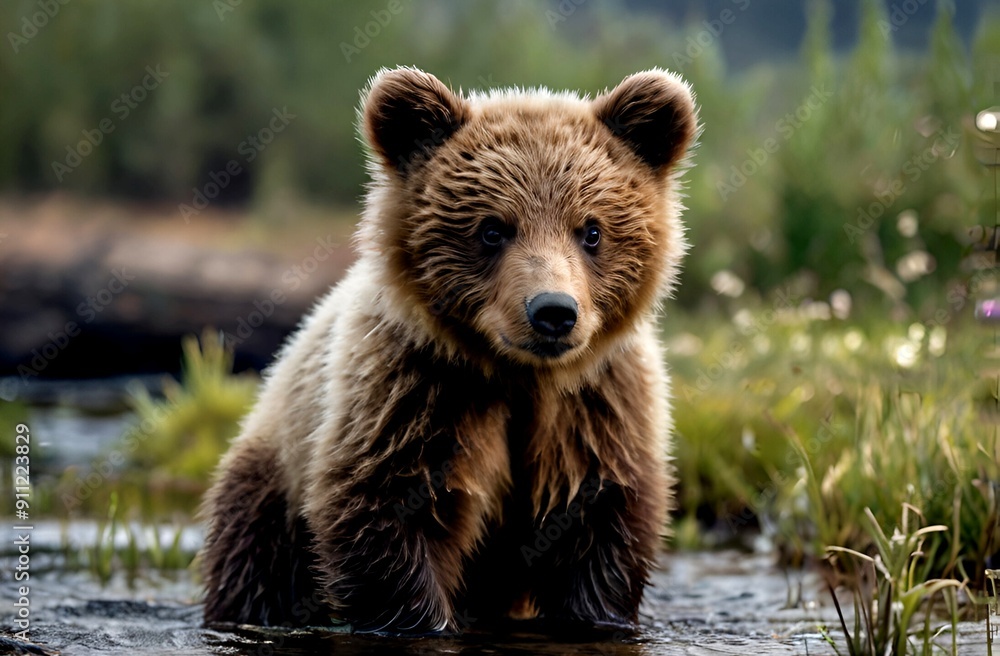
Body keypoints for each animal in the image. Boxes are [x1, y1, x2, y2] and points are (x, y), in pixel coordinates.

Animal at [200, 66, 698, 634]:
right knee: (254, 568)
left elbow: (601, 533)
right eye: (492, 229)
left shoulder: (598, 411)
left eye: (591, 230)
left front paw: (592, 616)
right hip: (271, 495)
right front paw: (425, 621)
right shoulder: (413, 395)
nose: (553, 311)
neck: (520, 376)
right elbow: (388, 518)